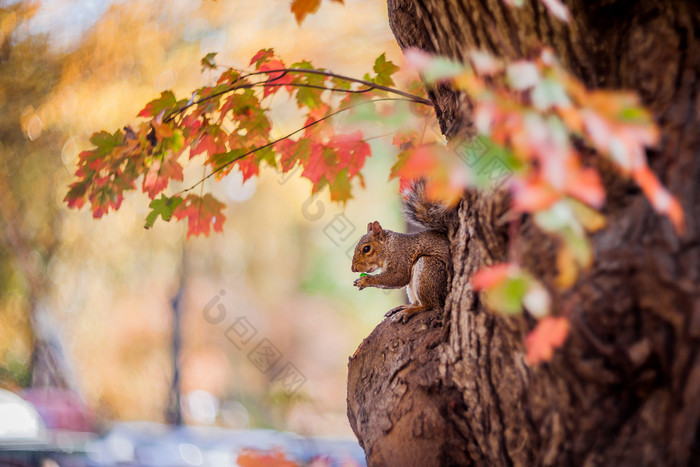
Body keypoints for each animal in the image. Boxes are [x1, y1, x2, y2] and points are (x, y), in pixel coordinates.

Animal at [348, 183, 454, 322]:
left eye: (366, 248)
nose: (353, 268)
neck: (389, 247)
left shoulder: (400, 257)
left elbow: (397, 278)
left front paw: (365, 281)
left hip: (428, 270)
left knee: (430, 305)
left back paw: (408, 311)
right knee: (418, 302)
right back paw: (403, 307)